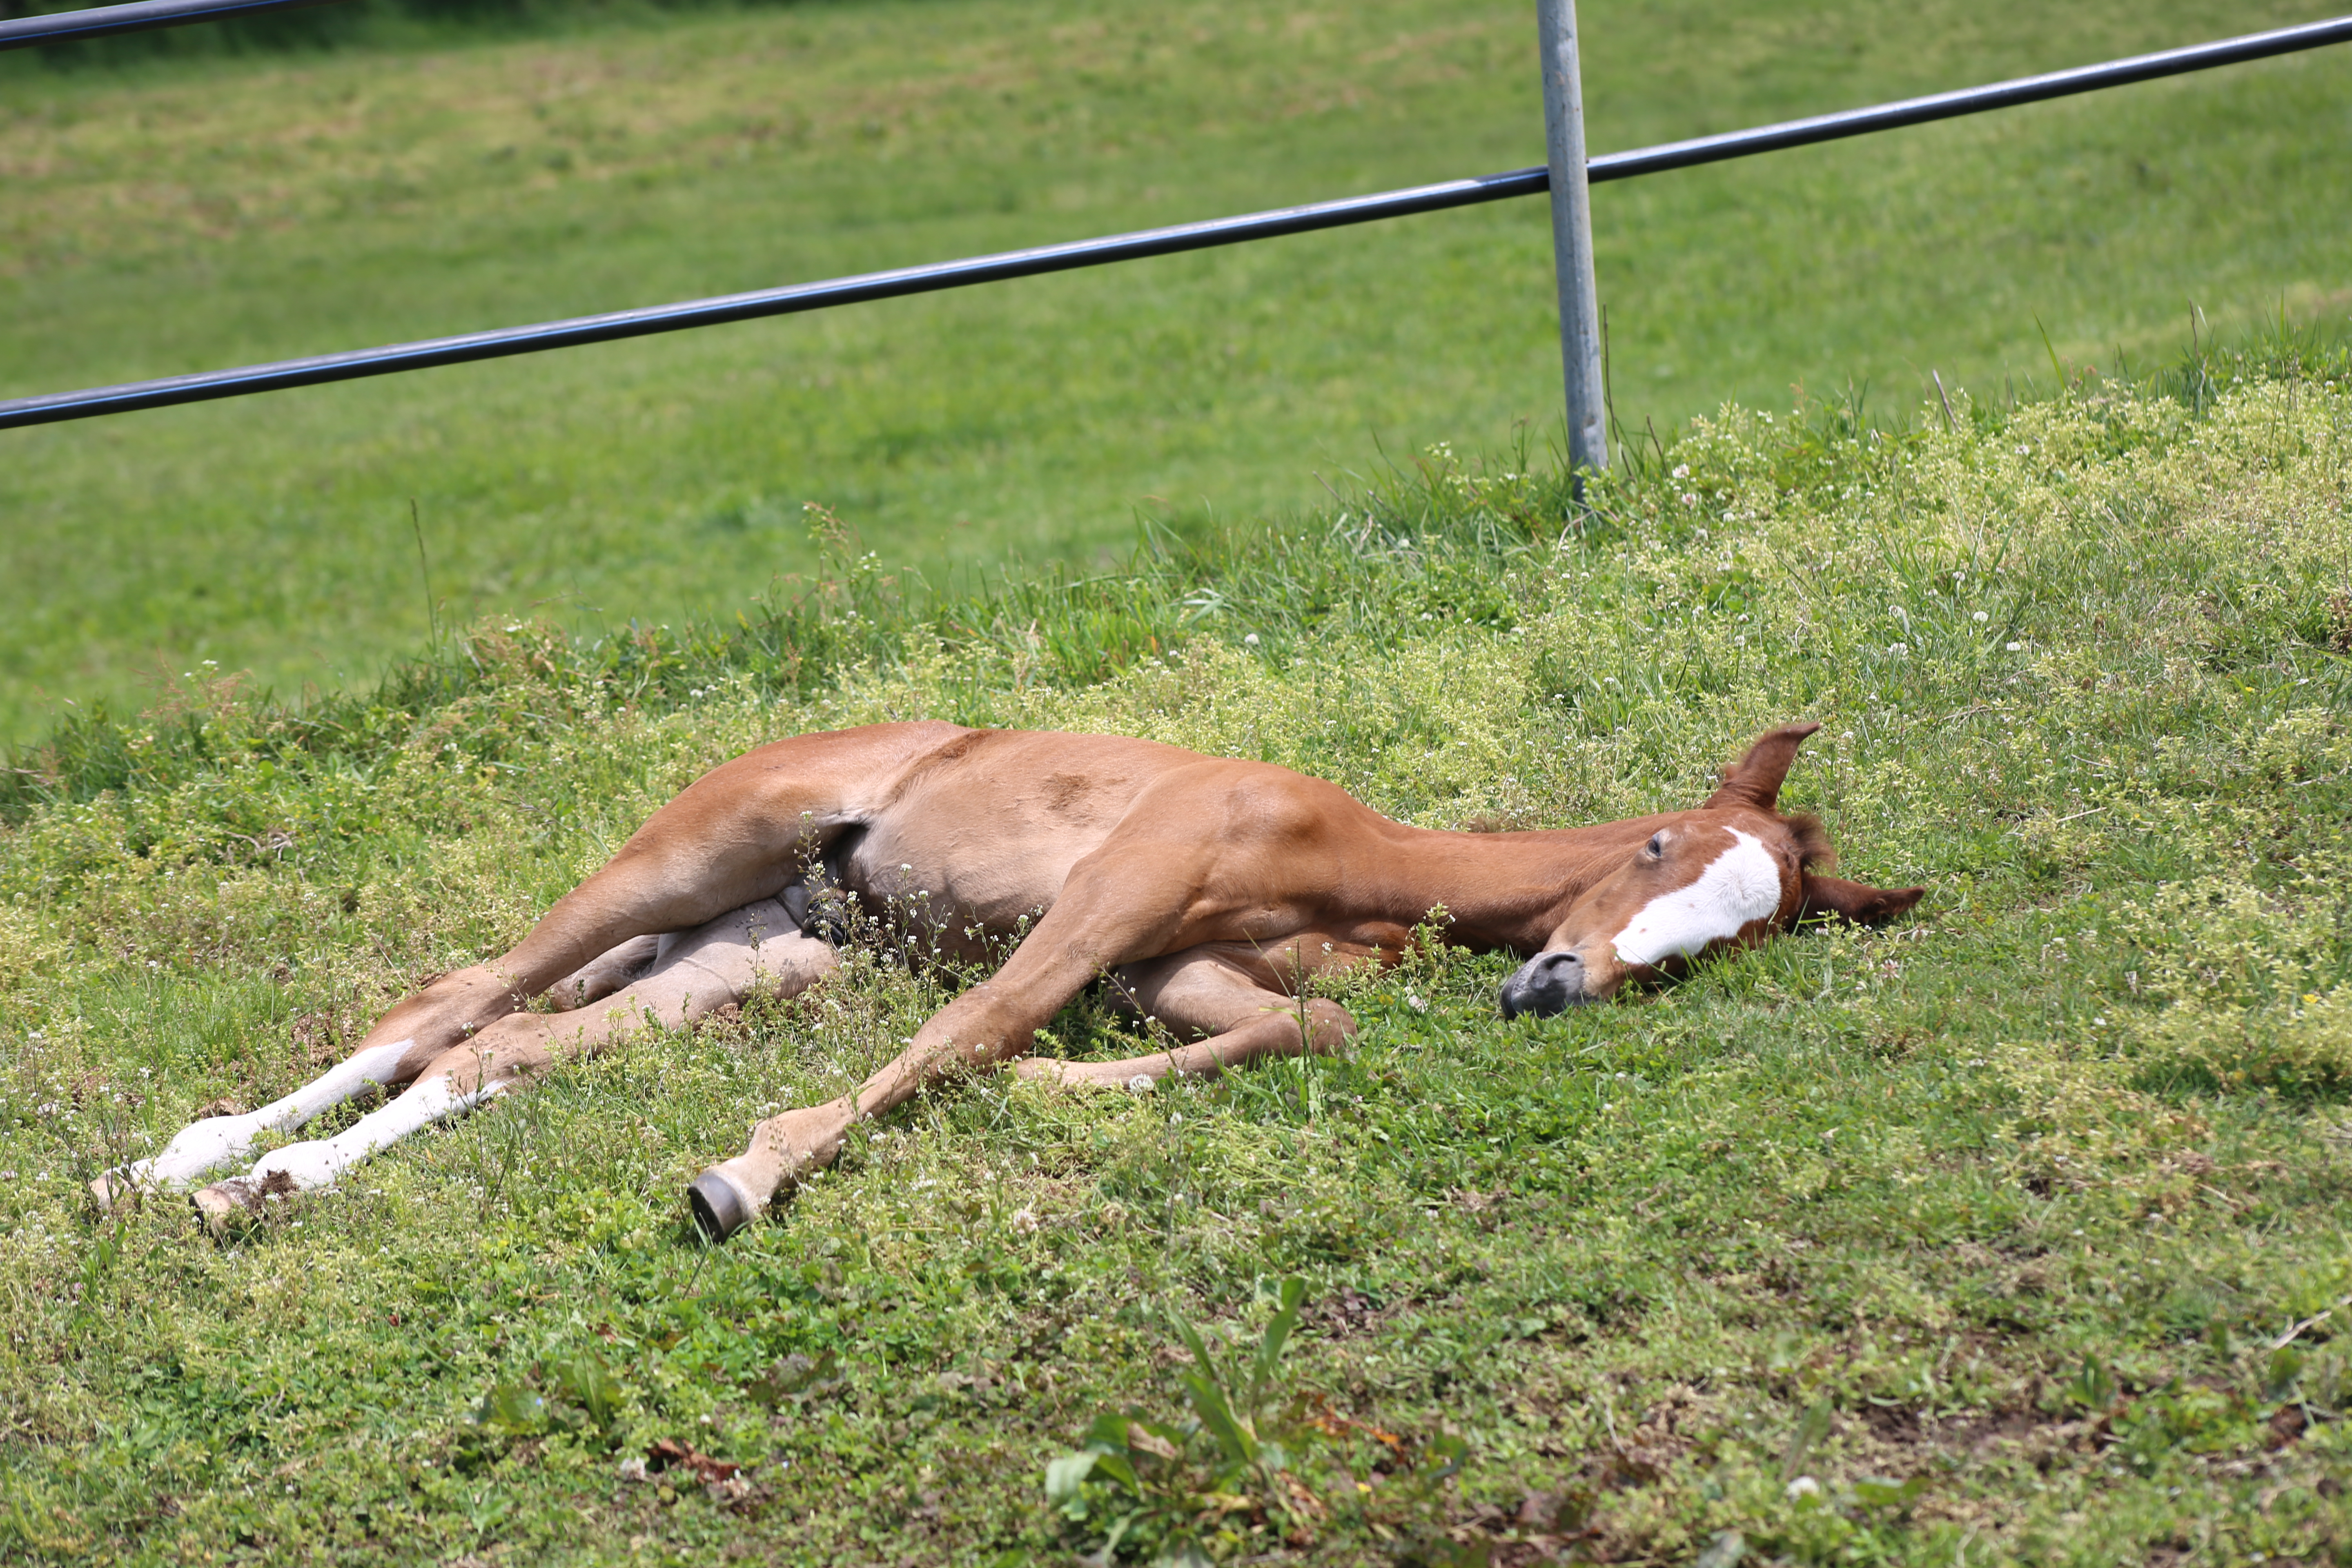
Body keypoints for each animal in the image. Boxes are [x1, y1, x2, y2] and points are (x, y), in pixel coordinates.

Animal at [101, 719, 1919, 1241]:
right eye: (1662, 846)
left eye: (1735, 938)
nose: (1552, 989)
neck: (1345, 849)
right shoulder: (1113, 896)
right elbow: (975, 1023)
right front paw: (741, 1178)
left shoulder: (1179, 972)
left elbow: (1308, 1022)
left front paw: (1049, 1094)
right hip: (687, 859)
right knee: (455, 996)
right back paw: (175, 1167)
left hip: (740, 964)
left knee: (498, 1054)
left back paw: (262, 1185)